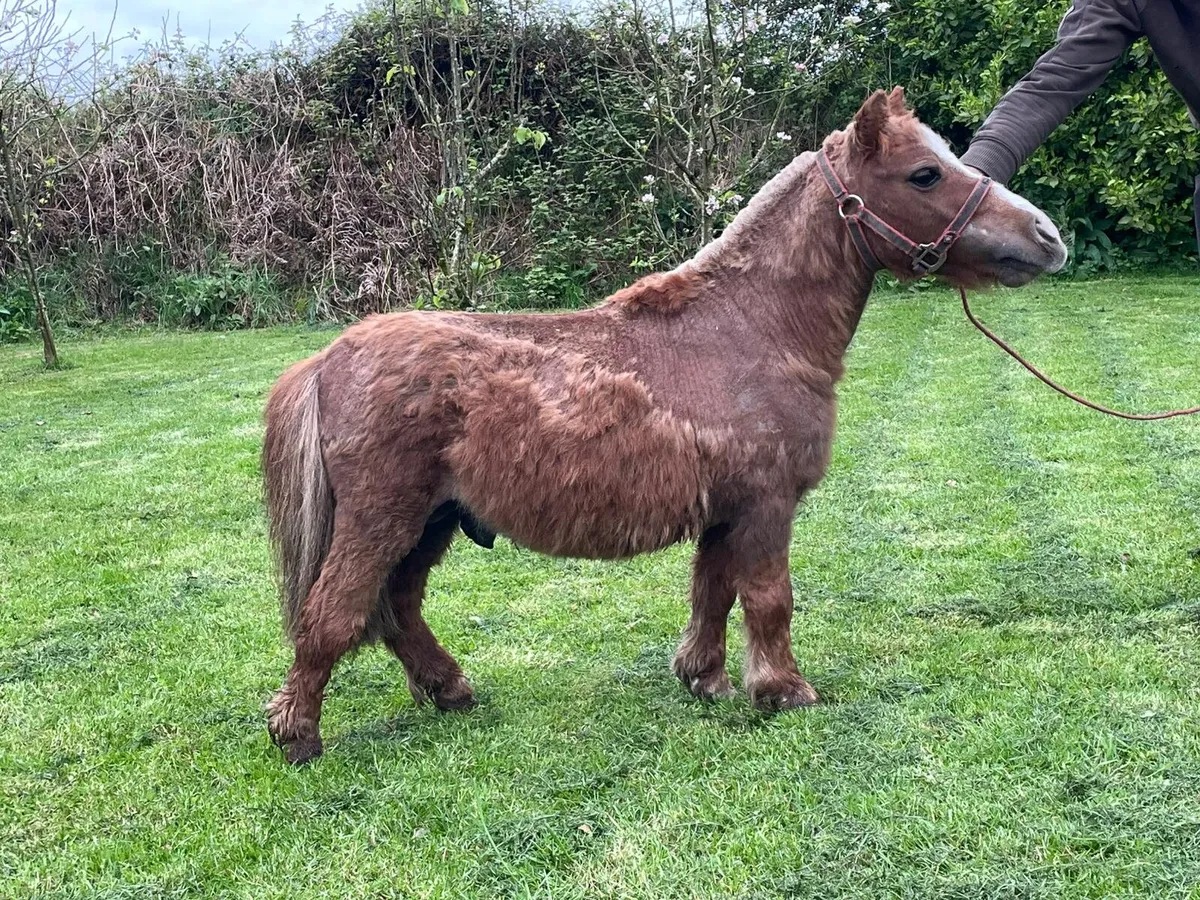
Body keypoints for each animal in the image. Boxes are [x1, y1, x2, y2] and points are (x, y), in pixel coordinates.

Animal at [262, 87, 1067, 764]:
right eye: (926, 174)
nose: (1047, 237)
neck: (748, 329)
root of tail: (331, 357)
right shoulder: (766, 505)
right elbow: (769, 598)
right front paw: (783, 690)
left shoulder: (724, 511)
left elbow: (713, 593)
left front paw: (705, 678)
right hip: (383, 518)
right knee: (333, 614)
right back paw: (297, 733)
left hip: (430, 522)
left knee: (396, 610)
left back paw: (447, 690)